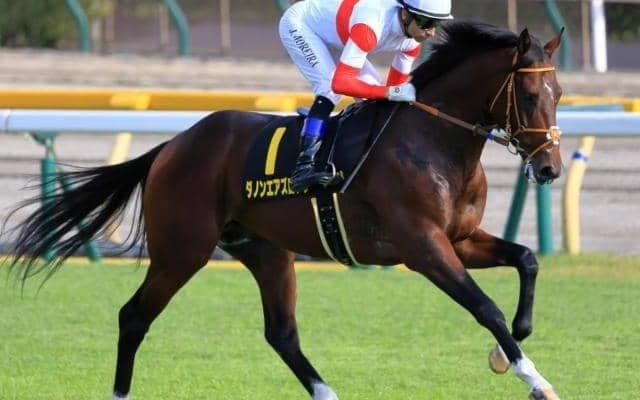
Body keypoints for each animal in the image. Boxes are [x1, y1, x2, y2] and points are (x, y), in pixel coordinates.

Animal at [6, 21, 564, 400]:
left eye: (559, 93)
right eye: (529, 94)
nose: (550, 168)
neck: (433, 140)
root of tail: (171, 146)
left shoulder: (460, 239)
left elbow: (527, 260)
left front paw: (506, 350)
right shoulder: (422, 246)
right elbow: (485, 307)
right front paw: (534, 377)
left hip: (265, 251)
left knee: (281, 333)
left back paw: (328, 393)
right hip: (183, 250)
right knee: (134, 316)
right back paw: (121, 393)